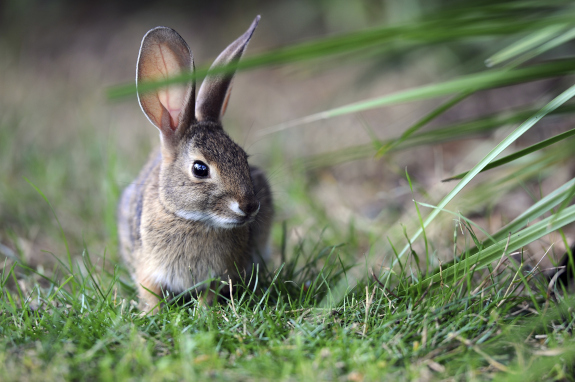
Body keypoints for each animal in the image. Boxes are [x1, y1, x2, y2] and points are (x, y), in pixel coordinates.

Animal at [117, 15, 274, 314]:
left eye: (243, 158)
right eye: (200, 169)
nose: (249, 206)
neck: (193, 220)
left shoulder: (221, 273)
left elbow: (210, 293)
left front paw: (203, 313)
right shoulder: (148, 269)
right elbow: (151, 293)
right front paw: (153, 313)